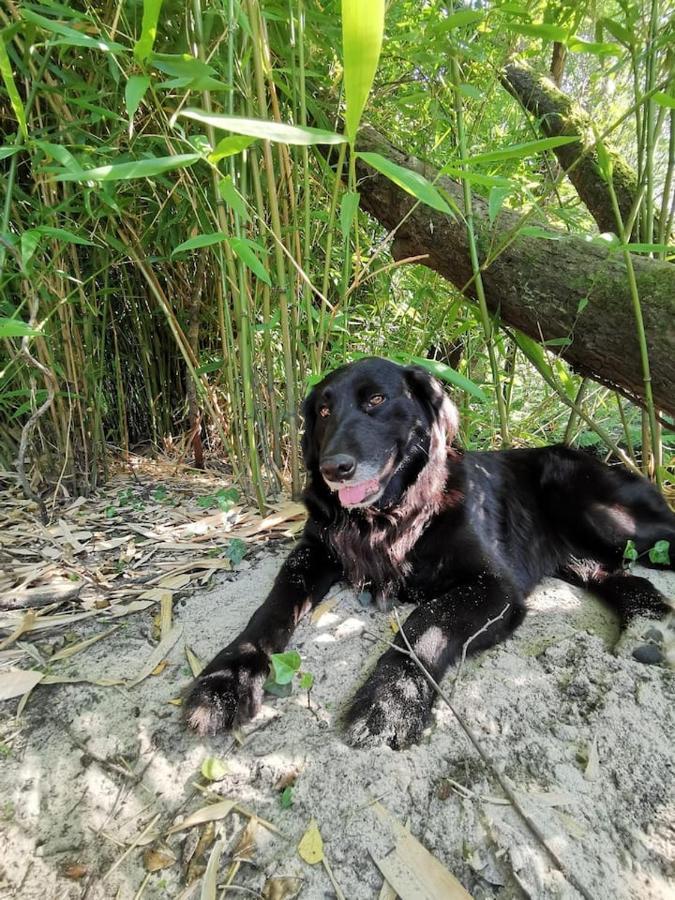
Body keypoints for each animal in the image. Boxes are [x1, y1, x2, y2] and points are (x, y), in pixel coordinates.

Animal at [186, 356, 675, 744]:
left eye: (376, 400)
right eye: (323, 410)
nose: (333, 469)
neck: (390, 515)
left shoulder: (495, 585)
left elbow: (425, 623)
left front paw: (391, 700)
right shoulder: (312, 552)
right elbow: (270, 609)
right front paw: (224, 679)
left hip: (608, 519)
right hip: (585, 556)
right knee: (630, 582)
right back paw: (647, 632)